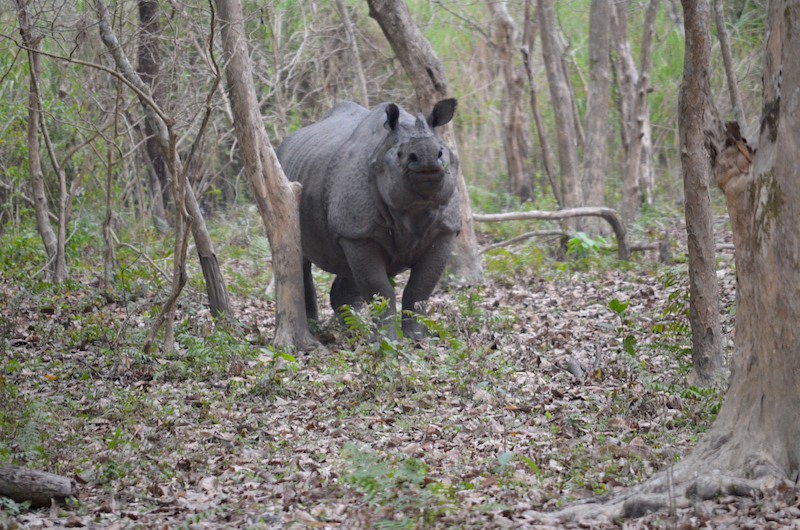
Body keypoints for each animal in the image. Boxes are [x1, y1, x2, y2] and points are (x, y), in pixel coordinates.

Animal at [276, 99, 461, 339]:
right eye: (400, 154)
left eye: (442, 152)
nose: (427, 158)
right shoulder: (357, 233)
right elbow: (379, 289)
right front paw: (386, 339)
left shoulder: (445, 230)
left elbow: (420, 289)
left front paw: (417, 338)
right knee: (300, 259)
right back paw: (316, 329)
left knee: (347, 268)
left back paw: (352, 328)